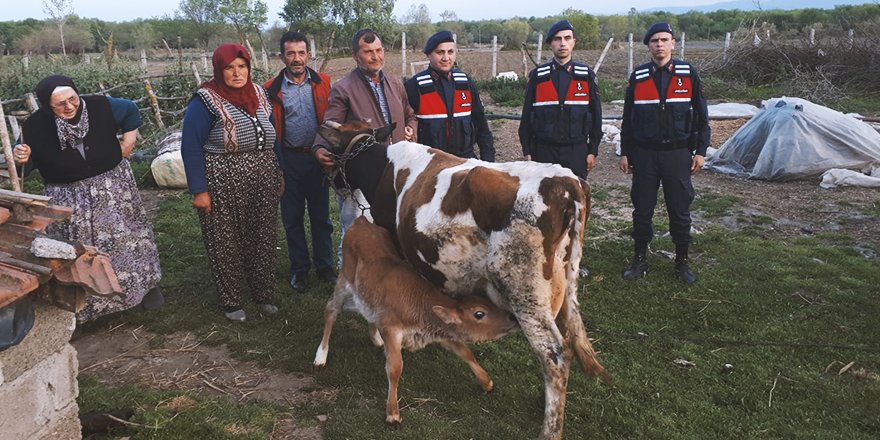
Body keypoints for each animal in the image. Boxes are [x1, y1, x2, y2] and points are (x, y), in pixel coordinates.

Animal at [316, 120, 612, 440]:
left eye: (333, 153)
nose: (333, 182)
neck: (384, 167)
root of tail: (567, 182)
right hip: (558, 287)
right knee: (563, 343)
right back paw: (546, 402)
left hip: (524, 290)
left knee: (554, 353)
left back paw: (550, 428)